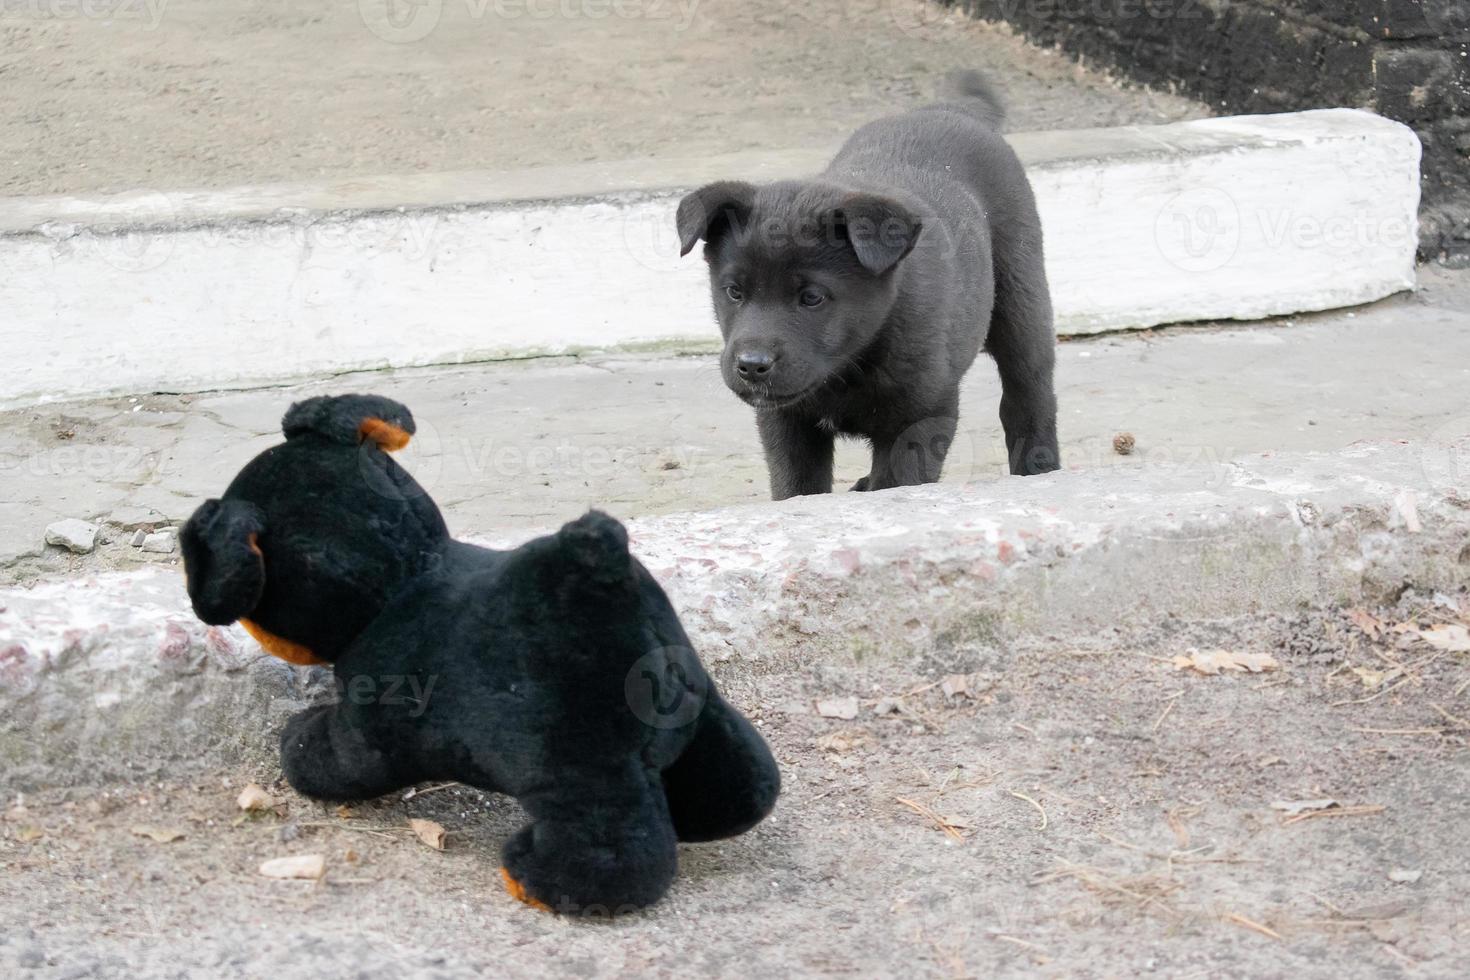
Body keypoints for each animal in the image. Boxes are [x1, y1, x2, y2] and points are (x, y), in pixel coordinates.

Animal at [673, 71, 1064, 499]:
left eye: (812, 297)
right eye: (734, 292)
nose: (751, 365)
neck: (852, 362)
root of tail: (954, 110)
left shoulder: (920, 418)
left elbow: (896, 482)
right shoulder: (786, 419)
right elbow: (796, 486)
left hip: (1021, 300)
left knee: (1028, 392)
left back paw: (1039, 468)